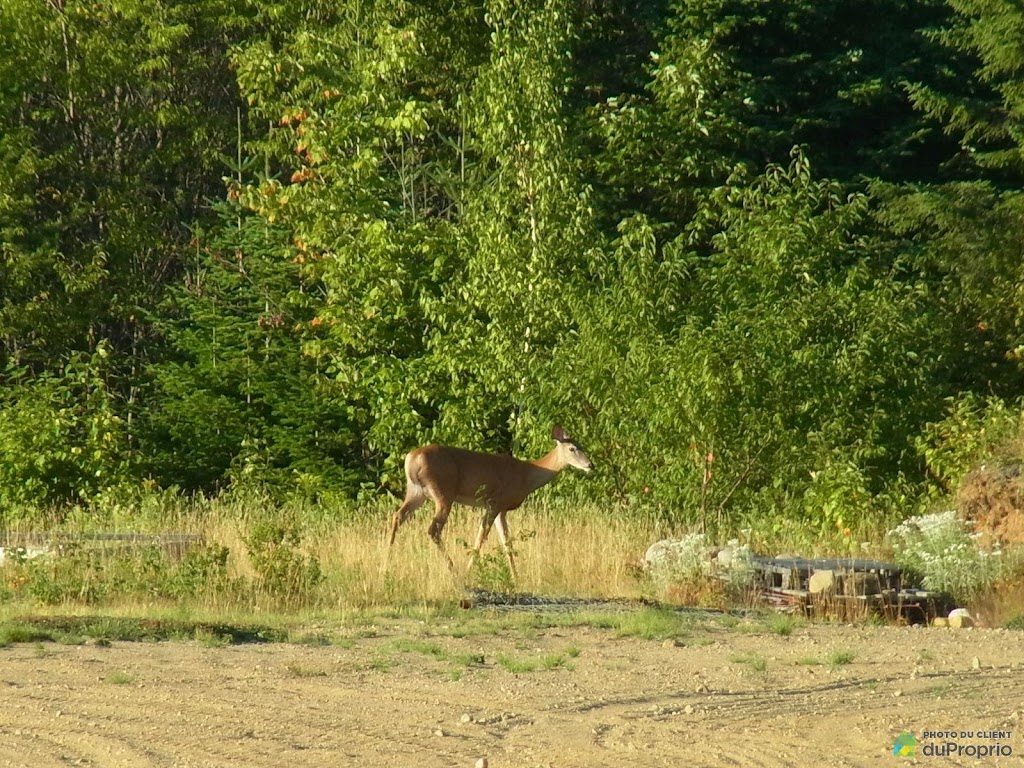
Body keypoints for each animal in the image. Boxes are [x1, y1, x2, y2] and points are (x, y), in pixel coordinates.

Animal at [385, 423, 598, 581]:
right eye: (572, 448)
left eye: (583, 446)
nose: (590, 465)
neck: (526, 475)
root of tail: (411, 458)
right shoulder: (494, 502)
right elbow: (481, 538)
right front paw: (469, 572)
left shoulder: (501, 509)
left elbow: (506, 543)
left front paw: (516, 577)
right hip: (443, 492)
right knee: (433, 529)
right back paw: (454, 571)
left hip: (416, 492)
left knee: (397, 517)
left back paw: (386, 565)